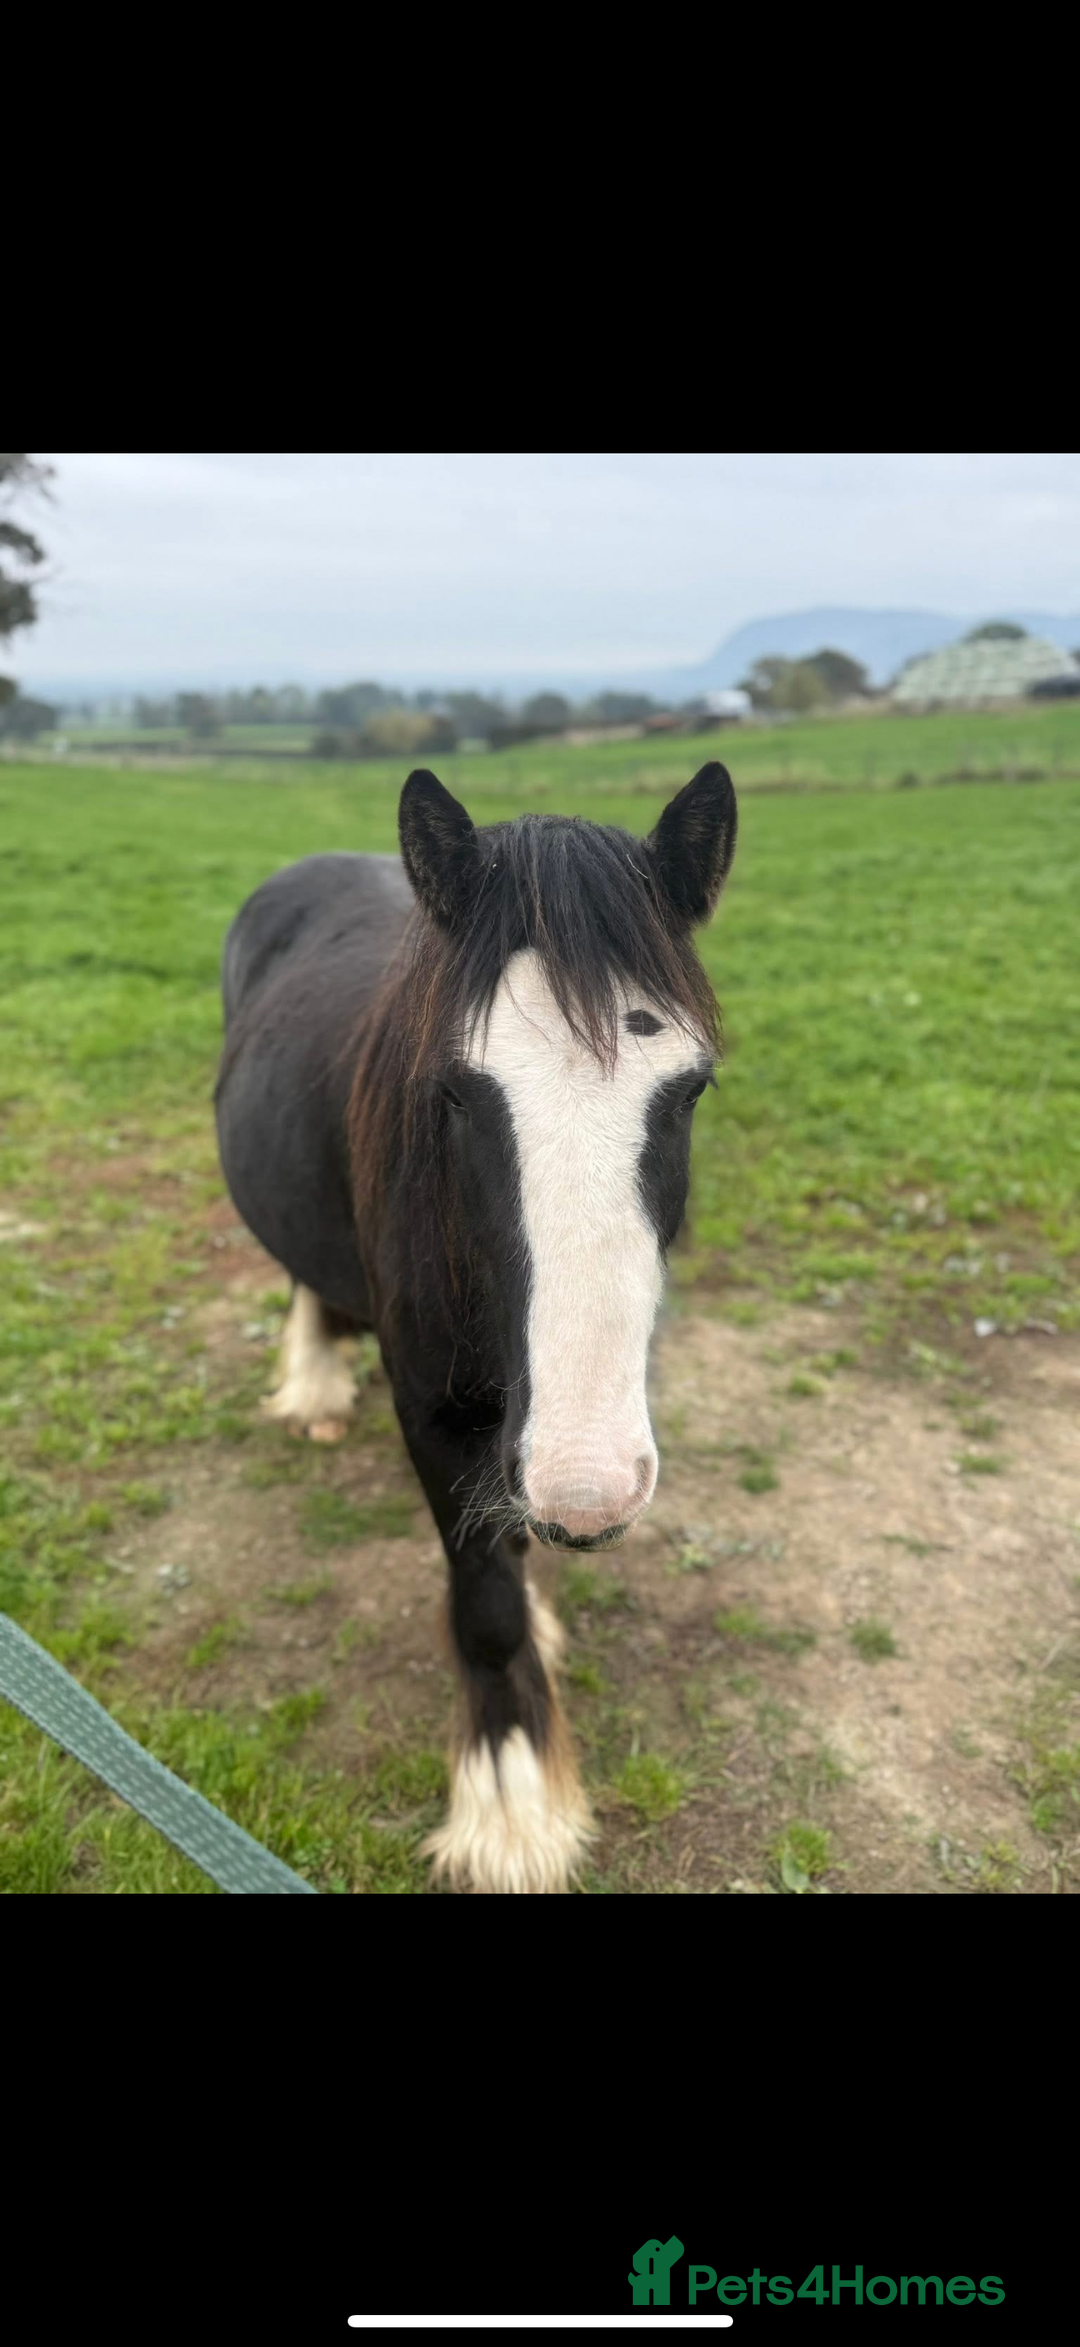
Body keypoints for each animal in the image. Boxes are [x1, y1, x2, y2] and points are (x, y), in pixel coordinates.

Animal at [214, 761, 737, 1892]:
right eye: (454, 1091)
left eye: (691, 1088)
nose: (587, 1488)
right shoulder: (437, 1408)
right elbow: (482, 1600)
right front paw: (513, 1809)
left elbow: (506, 1545)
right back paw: (314, 1379)